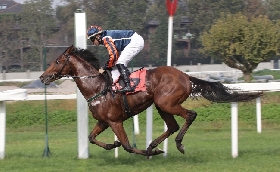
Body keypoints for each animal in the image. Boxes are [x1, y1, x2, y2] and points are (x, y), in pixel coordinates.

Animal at [40, 45, 262, 157]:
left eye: (58, 61)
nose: (43, 77)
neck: (97, 87)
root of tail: (185, 76)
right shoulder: (103, 121)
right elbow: (91, 138)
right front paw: (113, 145)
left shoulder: (115, 121)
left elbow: (127, 146)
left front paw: (151, 152)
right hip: (161, 105)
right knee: (172, 126)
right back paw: (152, 145)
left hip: (167, 103)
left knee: (190, 115)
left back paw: (175, 145)